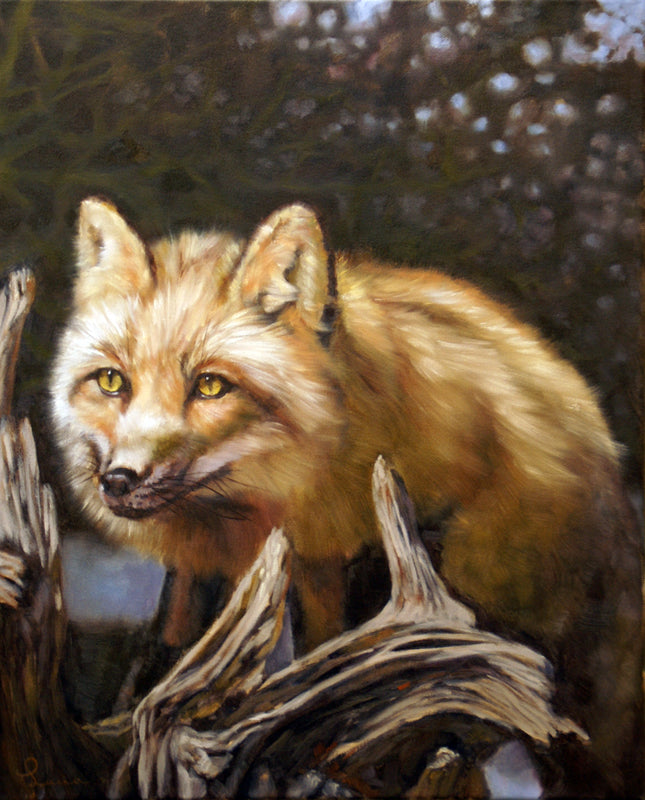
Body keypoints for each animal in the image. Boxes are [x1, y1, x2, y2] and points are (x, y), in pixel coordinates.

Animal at [50, 197, 641, 794]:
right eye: (111, 382)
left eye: (212, 386)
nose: (119, 480)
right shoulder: (211, 567)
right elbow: (171, 639)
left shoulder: (334, 564)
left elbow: (326, 659)